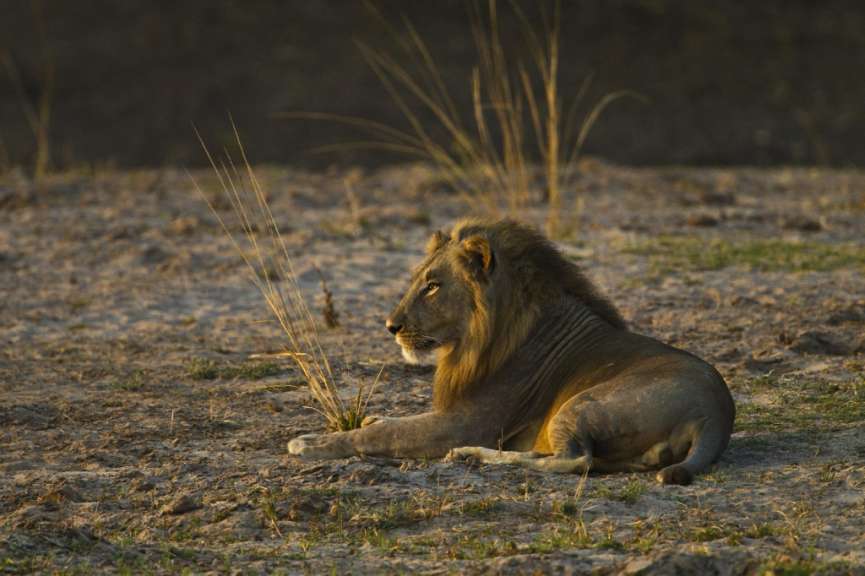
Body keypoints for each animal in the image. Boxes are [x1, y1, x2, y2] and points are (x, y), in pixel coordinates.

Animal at [289, 218, 735, 485]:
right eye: (418, 281)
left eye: (433, 286)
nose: (390, 326)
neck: (476, 340)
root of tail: (715, 412)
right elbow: (389, 423)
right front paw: (369, 418)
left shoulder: (465, 422)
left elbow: (387, 433)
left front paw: (309, 443)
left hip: (580, 404)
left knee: (574, 461)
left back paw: (471, 456)